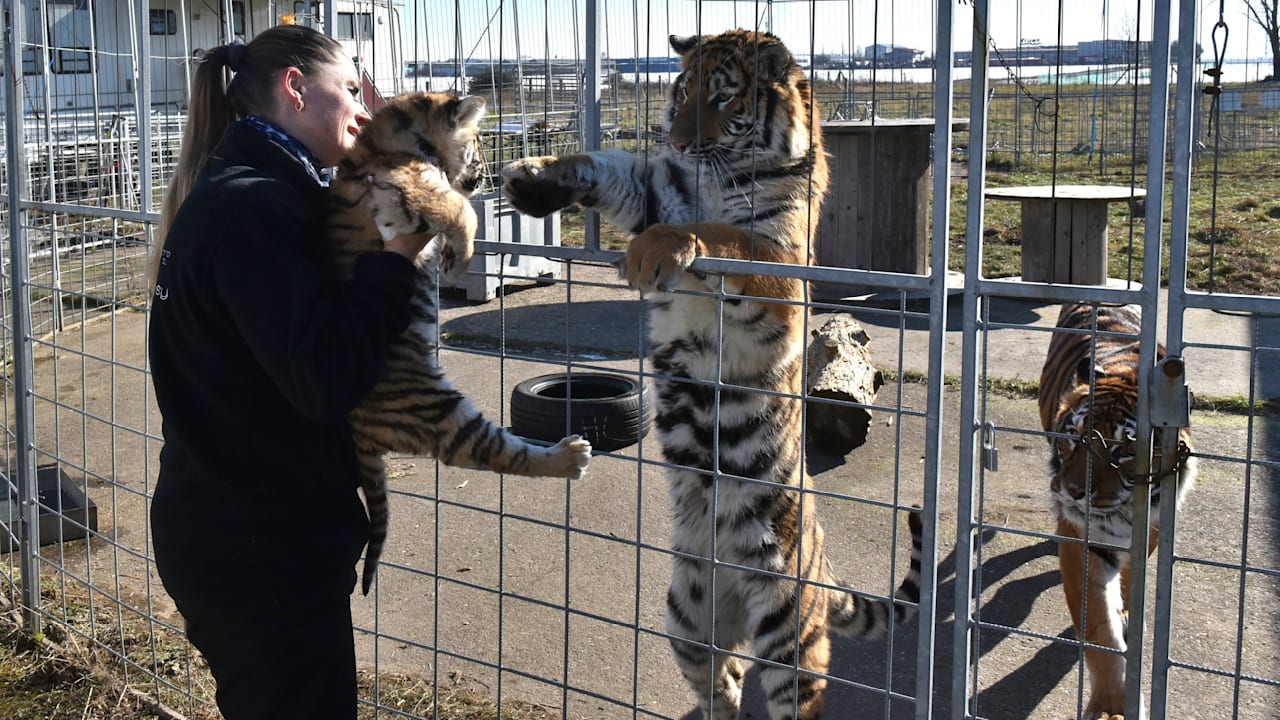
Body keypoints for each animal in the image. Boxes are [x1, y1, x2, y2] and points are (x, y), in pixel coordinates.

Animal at [328, 91, 593, 595]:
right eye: (475, 147)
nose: (480, 181)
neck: (399, 137)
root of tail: (360, 433)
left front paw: (454, 256)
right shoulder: (410, 190)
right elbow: (459, 210)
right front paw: (463, 258)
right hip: (440, 411)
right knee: (502, 455)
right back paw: (570, 456)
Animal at [501, 30, 922, 720]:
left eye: (723, 97)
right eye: (680, 91)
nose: (673, 139)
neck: (717, 173)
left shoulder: (782, 263)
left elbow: (722, 233)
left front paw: (659, 250)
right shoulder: (654, 189)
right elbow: (610, 167)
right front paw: (532, 179)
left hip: (787, 633)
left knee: (794, 691)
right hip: (686, 617)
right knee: (724, 677)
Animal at [1038, 302, 1197, 719]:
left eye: (1123, 450)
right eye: (1074, 438)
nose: (1074, 492)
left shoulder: (1153, 526)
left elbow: (1128, 575)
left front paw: (1125, 611)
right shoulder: (1082, 541)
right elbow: (1100, 633)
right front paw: (1112, 705)